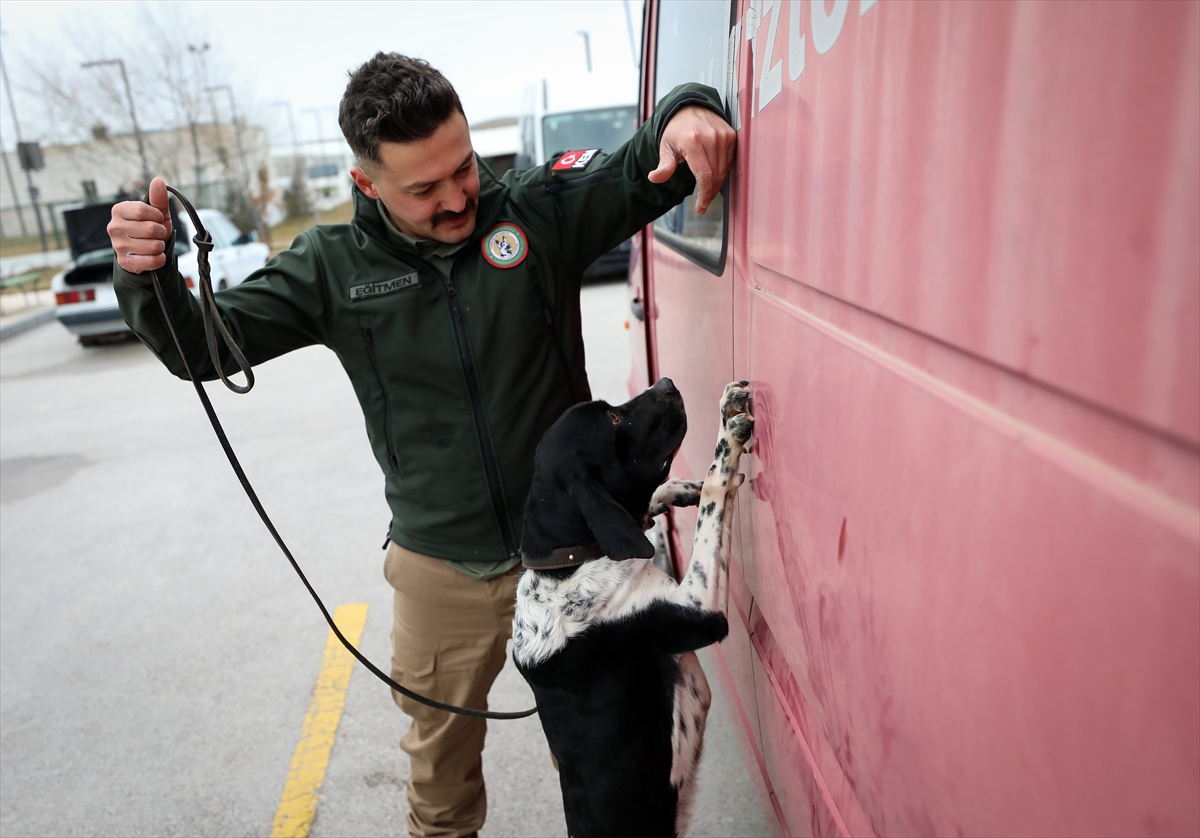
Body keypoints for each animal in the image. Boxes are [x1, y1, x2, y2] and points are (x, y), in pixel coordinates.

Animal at [513, 379, 748, 835]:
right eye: (613, 418)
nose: (667, 383)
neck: (567, 565)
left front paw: (681, 489)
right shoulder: (701, 606)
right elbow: (713, 501)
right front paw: (726, 440)